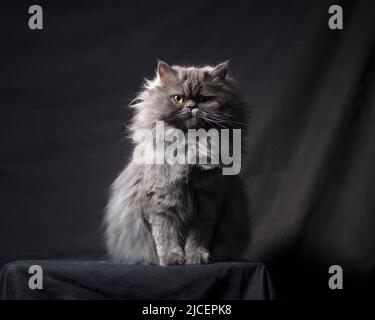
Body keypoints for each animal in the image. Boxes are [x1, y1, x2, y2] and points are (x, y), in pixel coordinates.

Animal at [104, 60, 251, 264]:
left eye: (204, 99)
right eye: (178, 99)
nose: (191, 106)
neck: (191, 144)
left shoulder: (207, 202)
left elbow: (198, 237)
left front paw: (196, 258)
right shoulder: (161, 202)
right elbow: (166, 235)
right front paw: (172, 259)